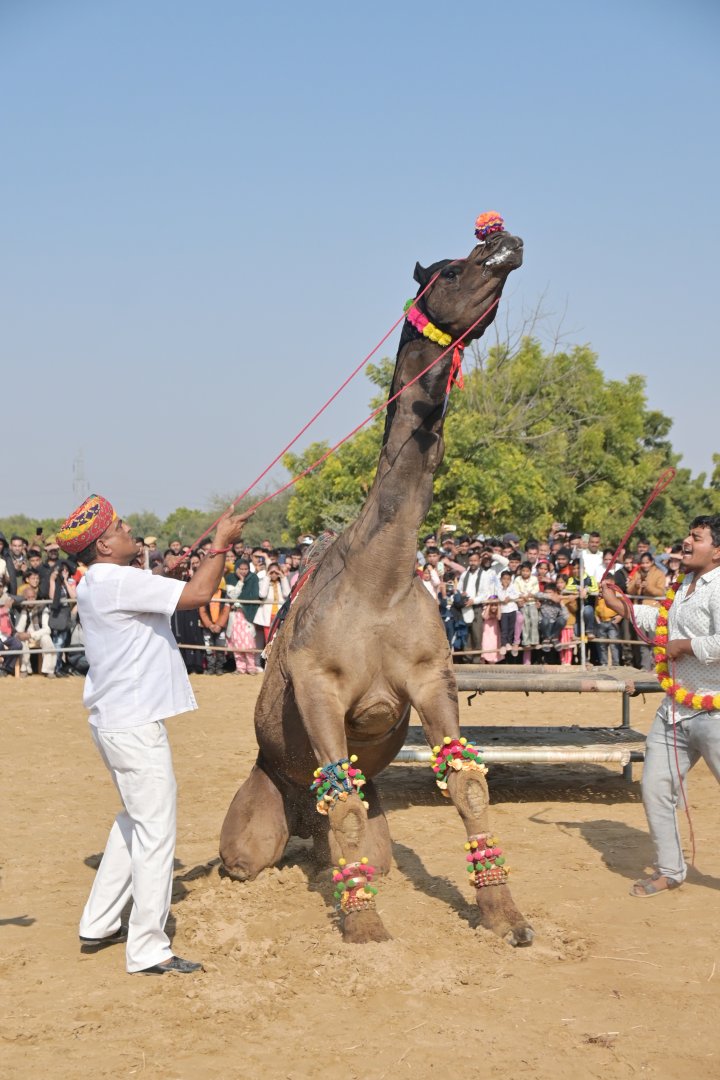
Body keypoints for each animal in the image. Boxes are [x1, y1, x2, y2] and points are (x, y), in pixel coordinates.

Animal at [220, 217, 533, 947]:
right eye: (451, 270)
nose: (502, 240)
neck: (379, 579)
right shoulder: (317, 686)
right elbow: (342, 803)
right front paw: (365, 927)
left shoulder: (433, 677)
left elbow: (469, 786)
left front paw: (507, 917)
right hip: (254, 820)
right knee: (261, 845)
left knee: (361, 842)